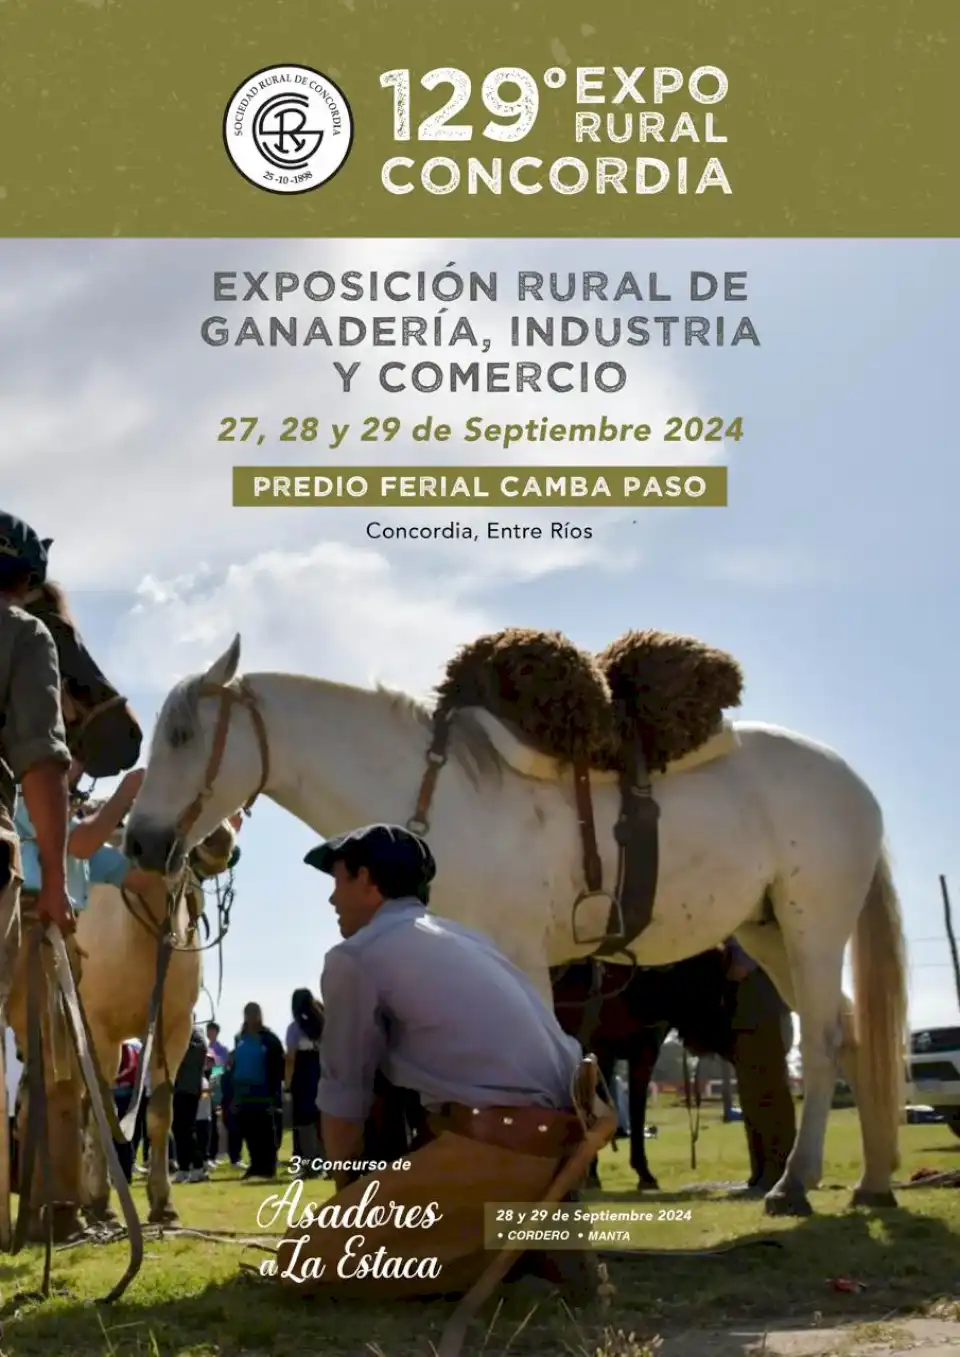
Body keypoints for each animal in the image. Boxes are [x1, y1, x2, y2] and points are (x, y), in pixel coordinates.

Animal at [125, 635, 907, 1221]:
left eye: (185, 734)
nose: (139, 842)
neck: (434, 802)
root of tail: (854, 782)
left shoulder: (522, 961)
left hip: (813, 924)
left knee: (827, 1037)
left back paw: (795, 1183)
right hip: (769, 929)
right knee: (852, 1030)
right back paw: (873, 1181)